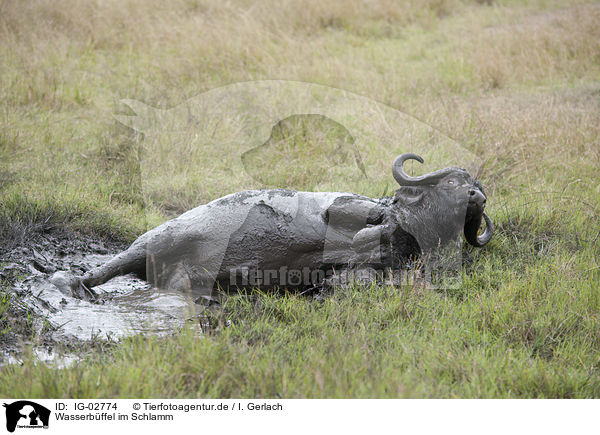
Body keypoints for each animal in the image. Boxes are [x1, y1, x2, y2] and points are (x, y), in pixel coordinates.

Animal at [50, 155, 492, 302]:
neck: (407, 227)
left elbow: (362, 275)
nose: (477, 196)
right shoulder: (349, 206)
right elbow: (361, 227)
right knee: (104, 269)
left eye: (475, 184)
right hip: (155, 240)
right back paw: (72, 284)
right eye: (454, 183)